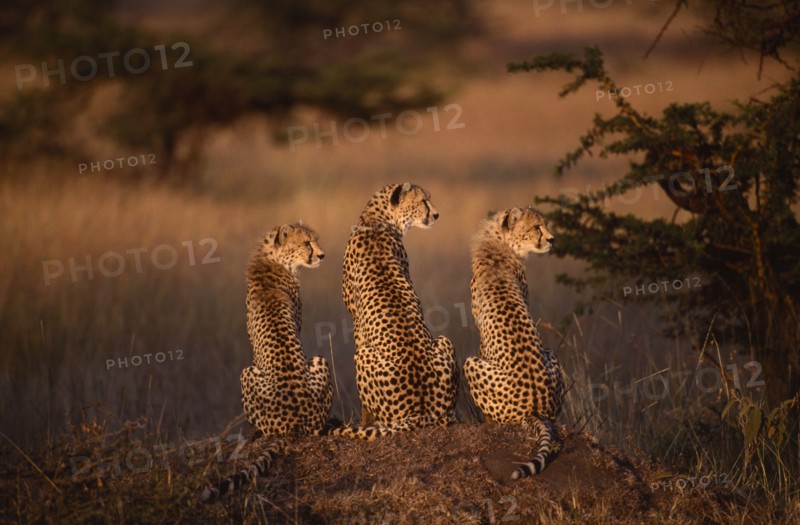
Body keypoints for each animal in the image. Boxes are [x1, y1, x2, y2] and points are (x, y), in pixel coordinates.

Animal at [200, 222, 333, 502]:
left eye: (315, 240)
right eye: (307, 242)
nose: (322, 255)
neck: (275, 259)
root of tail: (294, 424)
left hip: (255, 371)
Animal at [324, 182, 458, 441]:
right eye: (423, 201)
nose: (437, 215)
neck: (377, 220)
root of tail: (422, 412)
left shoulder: (357, 325)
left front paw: (364, 422)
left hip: (363, 355)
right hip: (444, 341)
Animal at [463, 206, 566, 479]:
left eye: (545, 225)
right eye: (536, 227)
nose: (552, 239)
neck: (500, 246)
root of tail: (534, 409)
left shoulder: (481, 343)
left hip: (470, 363)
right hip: (550, 354)